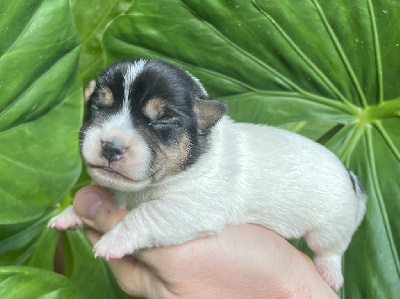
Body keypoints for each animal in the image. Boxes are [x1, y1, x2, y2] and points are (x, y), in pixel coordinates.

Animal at [48, 58, 368, 290]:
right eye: (97, 107)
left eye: (162, 121)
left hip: (331, 224)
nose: (111, 147)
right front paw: (68, 214)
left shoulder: (190, 207)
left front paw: (113, 240)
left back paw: (328, 273)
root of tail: (352, 179)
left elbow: (145, 215)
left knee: (331, 249)